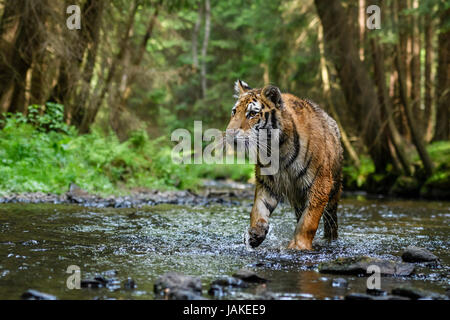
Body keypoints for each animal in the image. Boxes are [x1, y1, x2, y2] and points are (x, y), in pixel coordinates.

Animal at [227, 80, 342, 250]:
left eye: (252, 114)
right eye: (234, 112)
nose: (229, 134)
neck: (277, 149)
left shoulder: (320, 184)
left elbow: (309, 221)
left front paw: (299, 246)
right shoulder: (267, 183)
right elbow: (259, 209)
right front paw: (254, 234)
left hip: (334, 193)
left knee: (330, 222)